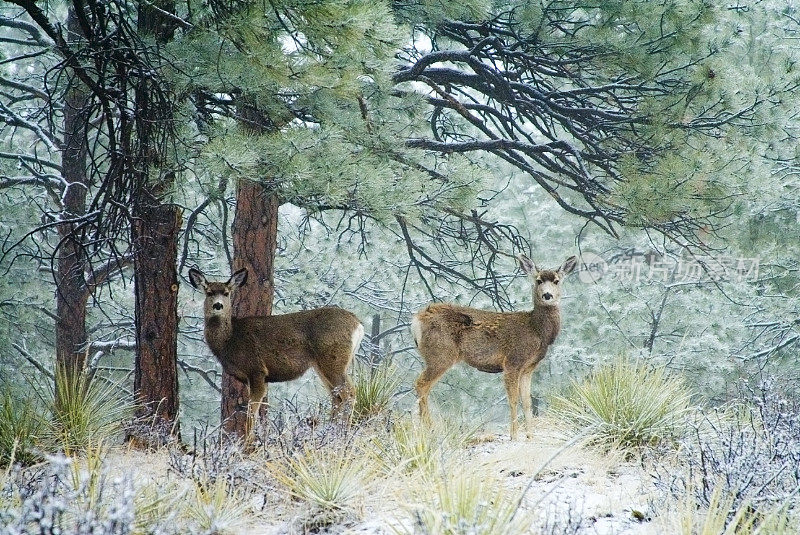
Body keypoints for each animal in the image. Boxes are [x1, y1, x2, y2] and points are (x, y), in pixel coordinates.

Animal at [188, 268, 362, 440]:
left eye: (226, 293)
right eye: (209, 292)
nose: (218, 305)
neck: (230, 340)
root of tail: (358, 324)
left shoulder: (256, 369)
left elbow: (251, 412)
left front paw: (247, 443)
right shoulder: (256, 378)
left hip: (333, 360)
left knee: (349, 393)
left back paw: (343, 435)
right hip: (321, 366)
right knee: (337, 396)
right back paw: (329, 433)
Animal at [412, 255, 576, 440]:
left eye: (556, 281)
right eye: (539, 280)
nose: (547, 295)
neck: (536, 330)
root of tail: (417, 319)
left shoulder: (528, 368)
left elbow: (527, 402)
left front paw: (530, 436)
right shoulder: (512, 361)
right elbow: (513, 400)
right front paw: (514, 436)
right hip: (440, 354)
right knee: (421, 384)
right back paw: (429, 430)